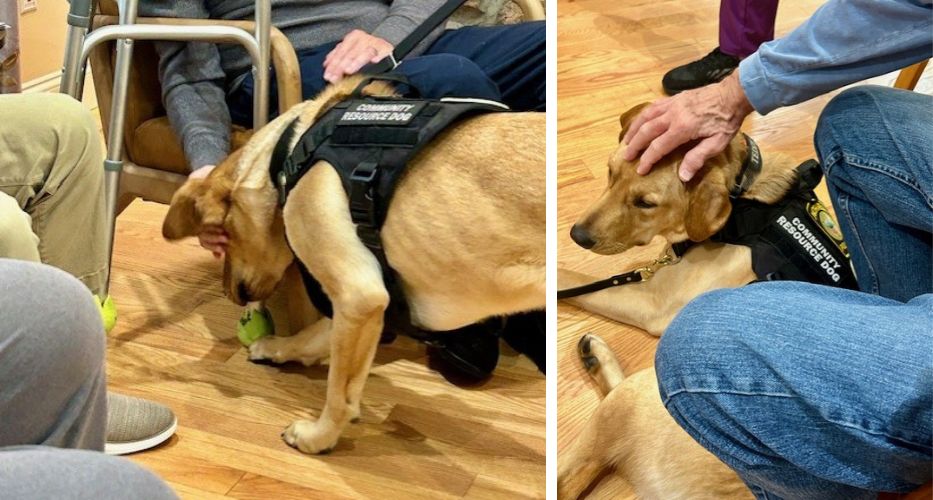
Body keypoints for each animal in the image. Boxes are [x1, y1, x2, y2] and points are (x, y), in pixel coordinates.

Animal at [159, 76, 540, 456]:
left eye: (222, 238)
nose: (228, 294)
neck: (289, 156)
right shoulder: (371, 304)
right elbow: (309, 338)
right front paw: (274, 347)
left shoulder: (359, 296)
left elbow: (339, 392)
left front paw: (317, 437)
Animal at [552, 103, 852, 498]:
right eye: (610, 172)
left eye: (646, 203)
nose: (577, 235)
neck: (743, 197)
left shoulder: (652, 303)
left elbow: (572, 278)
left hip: (640, 393)